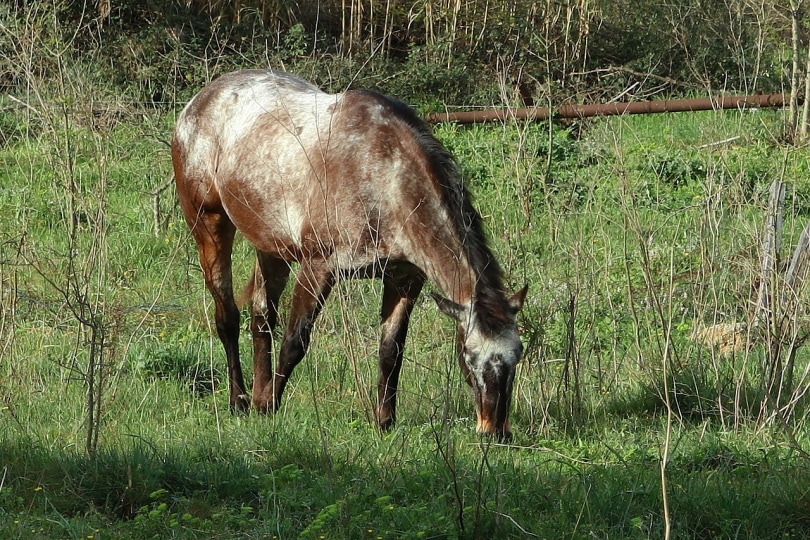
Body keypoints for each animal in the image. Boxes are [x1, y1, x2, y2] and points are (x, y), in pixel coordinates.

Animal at [171, 69, 528, 438]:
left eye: (518, 355)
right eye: (469, 357)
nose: (495, 431)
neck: (384, 178)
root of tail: (199, 101)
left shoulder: (404, 278)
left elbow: (391, 350)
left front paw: (384, 422)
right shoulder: (318, 268)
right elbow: (295, 341)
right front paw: (271, 406)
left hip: (271, 248)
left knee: (261, 319)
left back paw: (256, 396)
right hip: (209, 226)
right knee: (227, 317)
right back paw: (240, 400)